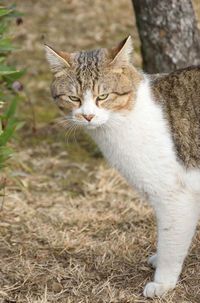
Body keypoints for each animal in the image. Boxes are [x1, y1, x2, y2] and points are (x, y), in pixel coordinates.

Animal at [45, 36, 200, 300]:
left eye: (103, 96)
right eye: (74, 99)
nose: (87, 116)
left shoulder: (174, 196)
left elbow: (170, 241)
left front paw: (163, 282)